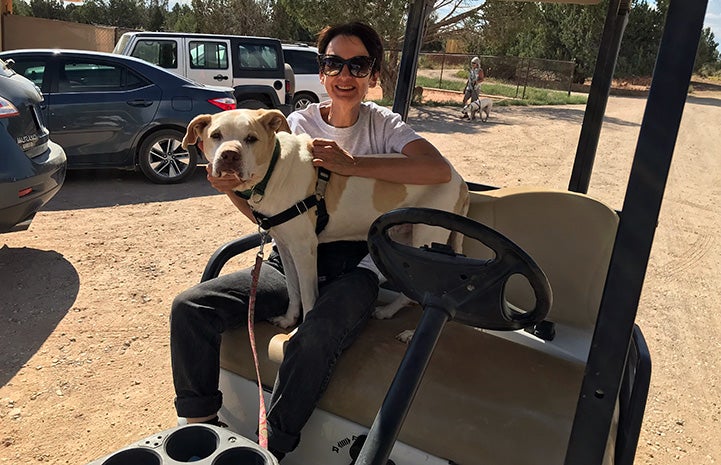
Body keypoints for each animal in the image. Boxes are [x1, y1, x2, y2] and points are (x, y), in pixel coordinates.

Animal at [183, 108, 470, 328]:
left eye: (251, 138)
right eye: (216, 136)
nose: (229, 155)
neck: (273, 172)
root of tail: (460, 179)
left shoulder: (305, 248)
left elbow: (309, 294)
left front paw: (300, 328)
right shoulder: (286, 246)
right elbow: (294, 290)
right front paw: (289, 320)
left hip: (426, 240)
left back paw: (411, 333)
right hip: (404, 239)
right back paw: (389, 312)